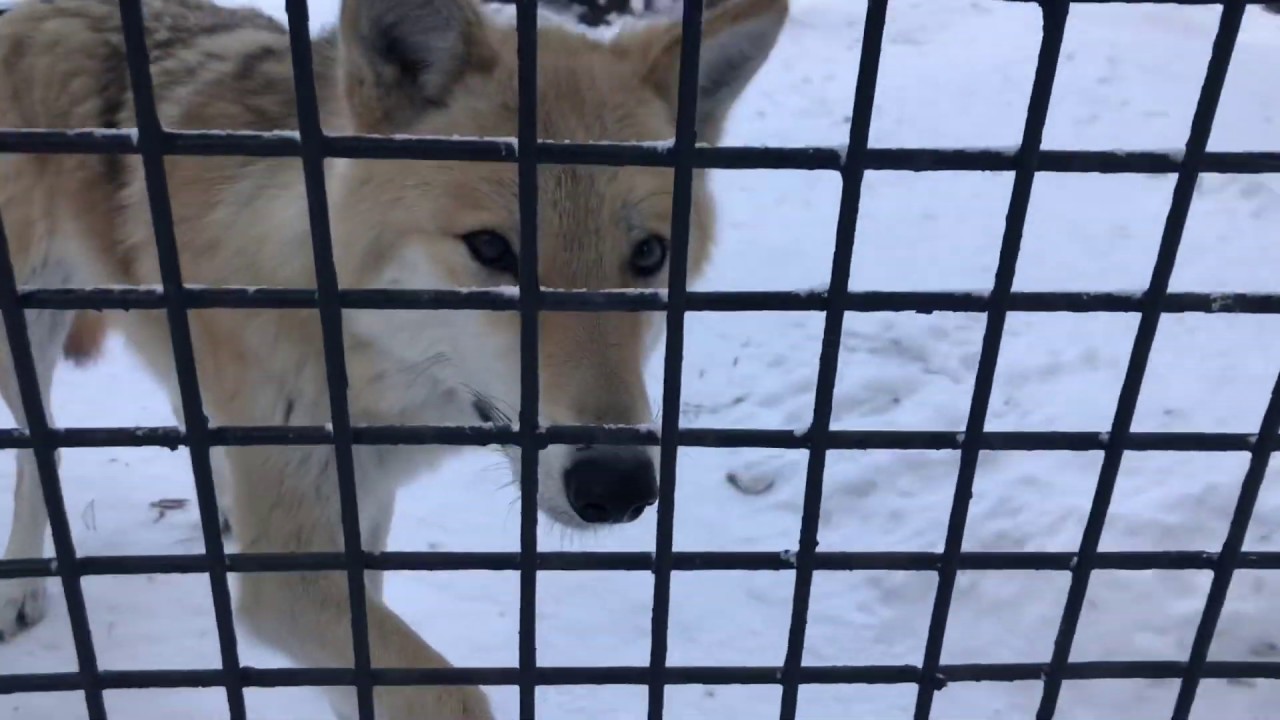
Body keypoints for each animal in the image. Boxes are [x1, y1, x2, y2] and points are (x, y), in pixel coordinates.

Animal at [0, 0, 787, 715]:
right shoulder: (295, 568)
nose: (619, 484)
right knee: (43, 450)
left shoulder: (365, 511)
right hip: (31, 336)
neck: (375, 372)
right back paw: (22, 586)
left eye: (648, 254)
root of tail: (35, 11)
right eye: (491, 248)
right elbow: (450, 694)